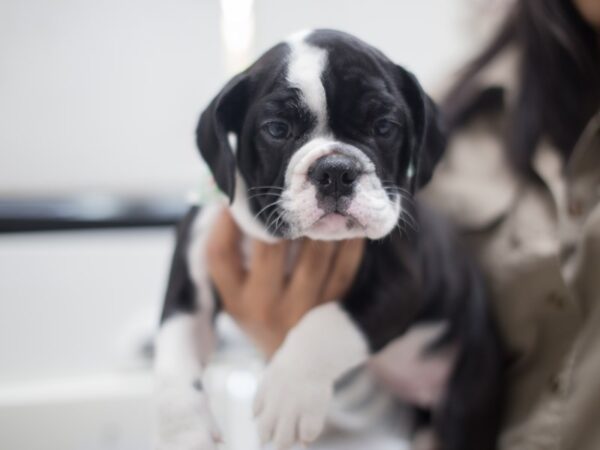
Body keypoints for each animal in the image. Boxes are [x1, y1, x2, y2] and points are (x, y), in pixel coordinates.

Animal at [157, 29, 504, 450]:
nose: (336, 170)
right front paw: (184, 434)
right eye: (277, 129)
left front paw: (289, 394)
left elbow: (328, 322)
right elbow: (173, 359)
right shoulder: (190, 287)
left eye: (384, 125)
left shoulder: (400, 282)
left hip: (468, 395)